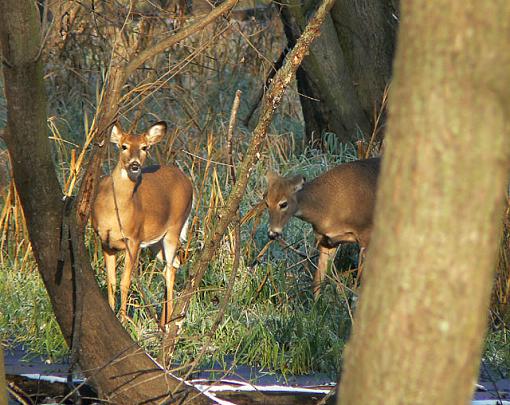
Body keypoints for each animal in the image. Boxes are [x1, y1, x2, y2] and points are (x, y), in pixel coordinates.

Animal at [90, 120, 192, 326]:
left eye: (145, 147)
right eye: (124, 146)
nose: (135, 165)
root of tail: (189, 182)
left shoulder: (134, 239)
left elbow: (125, 281)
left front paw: (122, 319)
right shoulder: (105, 241)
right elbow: (111, 281)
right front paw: (111, 312)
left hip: (174, 228)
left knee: (170, 268)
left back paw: (168, 322)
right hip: (156, 242)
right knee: (174, 265)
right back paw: (163, 320)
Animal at [264, 156, 380, 298]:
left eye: (283, 204)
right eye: (266, 202)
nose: (272, 233)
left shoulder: (366, 234)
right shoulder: (327, 240)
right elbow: (317, 281)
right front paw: (316, 302)